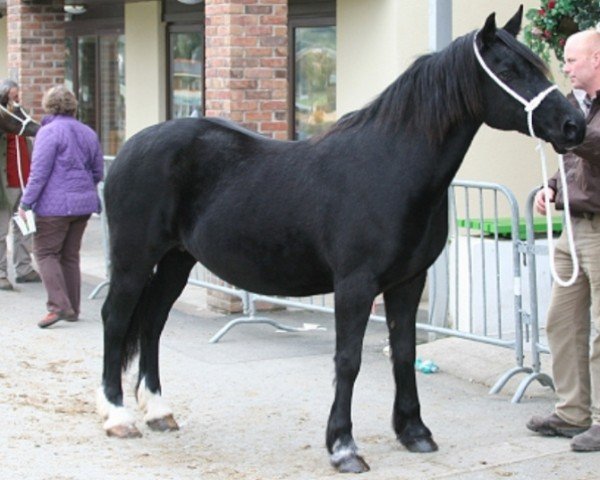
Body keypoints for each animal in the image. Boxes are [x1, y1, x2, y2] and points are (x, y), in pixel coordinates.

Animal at [99, 9, 584, 474]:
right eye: (508, 67)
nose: (574, 124)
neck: (390, 166)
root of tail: (127, 148)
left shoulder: (408, 281)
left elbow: (403, 352)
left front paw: (414, 432)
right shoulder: (355, 285)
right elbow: (348, 360)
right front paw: (343, 448)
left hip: (176, 261)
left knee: (153, 322)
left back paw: (158, 411)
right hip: (132, 261)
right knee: (115, 319)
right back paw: (118, 416)